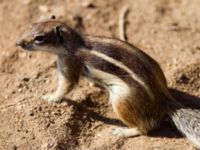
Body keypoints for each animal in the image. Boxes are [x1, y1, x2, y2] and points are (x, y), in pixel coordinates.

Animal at [16, 20, 200, 148]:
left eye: (40, 38)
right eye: (31, 25)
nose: (18, 43)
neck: (73, 43)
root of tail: (163, 98)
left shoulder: (69, 63)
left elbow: (66, 85)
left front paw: (51, 97)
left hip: (122, 100)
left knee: (146, 127)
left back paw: (124, 131)